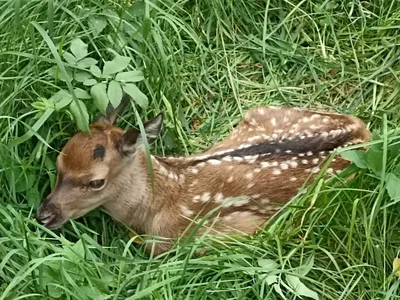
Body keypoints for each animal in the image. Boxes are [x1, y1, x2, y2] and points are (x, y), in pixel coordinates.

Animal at [35, 95, 372, 255]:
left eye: (96, 182)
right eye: (58, 160)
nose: (44, 214)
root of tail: (361, 131)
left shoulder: (218, 233)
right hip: (262, 110)